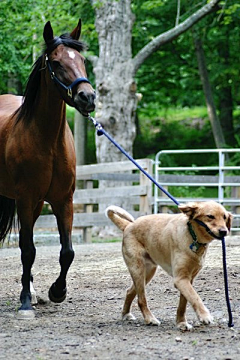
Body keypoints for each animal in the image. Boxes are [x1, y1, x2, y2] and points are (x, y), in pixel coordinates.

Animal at [0, 19, 95, 318]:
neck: (48, 140)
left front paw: (57, 291)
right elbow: (27, 249)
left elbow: (67, 251)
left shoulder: (62, 200)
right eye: (55, 62)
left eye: (82, 60)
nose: (87, 97)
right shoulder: (25, 198)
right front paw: (25, 303)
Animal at [105, 201, 232, 330]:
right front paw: (204, 316)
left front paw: (181, 322)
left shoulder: (188, 279)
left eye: (225, 217)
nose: (224, 231)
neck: (192, 235)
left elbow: (183, 304)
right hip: (138, 270)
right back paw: (150, 319)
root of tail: (128, 225)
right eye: (210, 216)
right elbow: (195, 297)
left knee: (129, 291)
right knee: (141, 300)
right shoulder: (180, 279)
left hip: (148, 273)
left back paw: (126, 314)